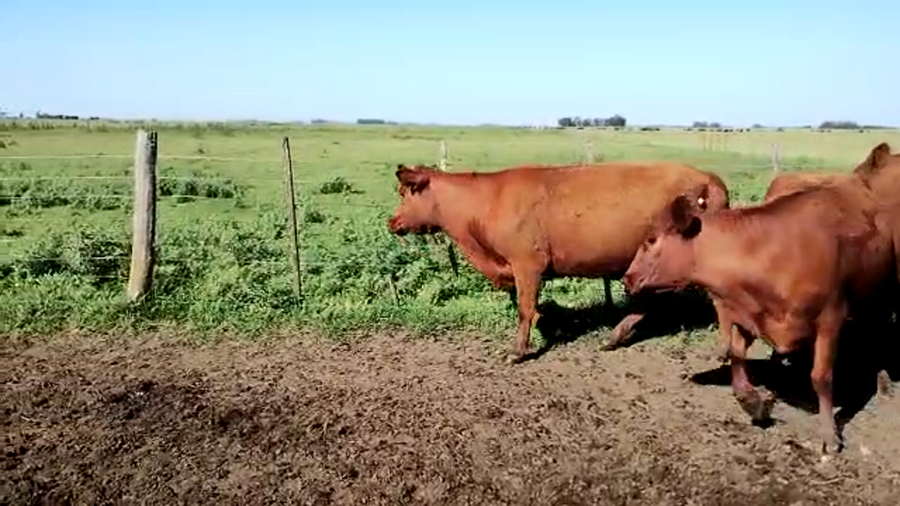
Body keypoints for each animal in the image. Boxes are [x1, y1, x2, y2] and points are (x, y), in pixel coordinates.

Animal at [387, 161, 730, 363]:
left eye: (405, 192)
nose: (393, 222)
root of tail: (707, 179)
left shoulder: (527, 265)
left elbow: (525, 309)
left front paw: (518, 352)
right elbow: (536, 311)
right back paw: (613, 338)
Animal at [621, 177, 896, 454]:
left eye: (651, 240)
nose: (628, 278)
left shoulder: (831, 318)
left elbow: (821, 377)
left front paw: (830, 435)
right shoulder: (750, 315)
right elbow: (736, 356)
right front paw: (754, 404)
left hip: (883, 294)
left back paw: (882, 383)